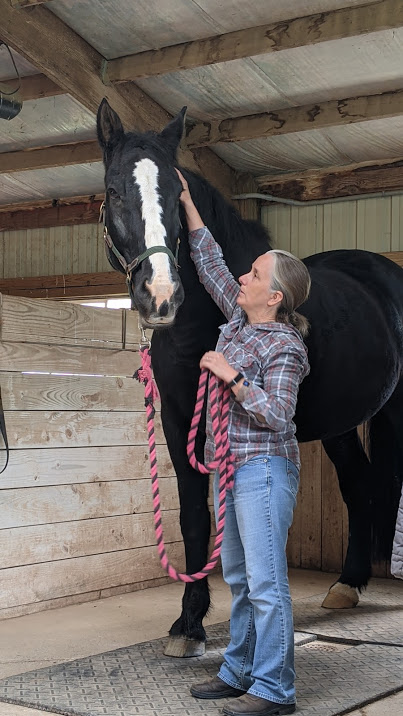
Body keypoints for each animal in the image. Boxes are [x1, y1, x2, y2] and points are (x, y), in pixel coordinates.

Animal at [97, 99, 403, 656]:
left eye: (176, 194)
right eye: (113, 189)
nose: (160, 296)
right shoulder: (178, 417)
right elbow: (194, 515)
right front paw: (189, 624)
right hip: (341, 425)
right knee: (358, 484)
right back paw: (347, 585)